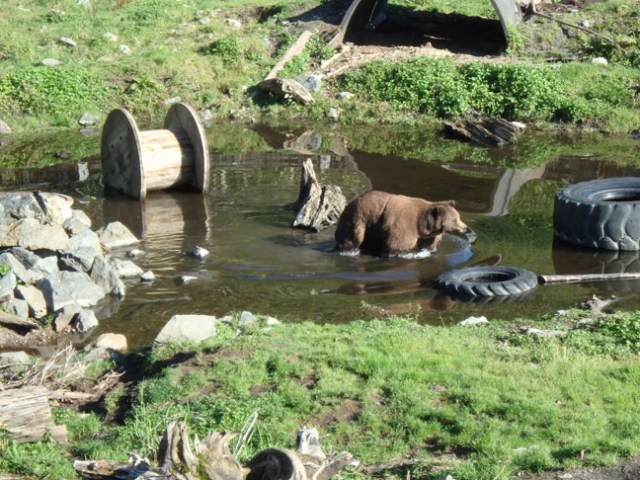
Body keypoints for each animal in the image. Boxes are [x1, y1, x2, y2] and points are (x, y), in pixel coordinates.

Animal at [334, 190, 470, 257]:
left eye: (458, 217)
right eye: (454, 220)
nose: (466, 228)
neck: (422, 225)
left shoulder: (428, 236)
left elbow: (428, 246)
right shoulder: (404, 225)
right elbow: (397, 245)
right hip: (357, 220)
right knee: (352, 239)